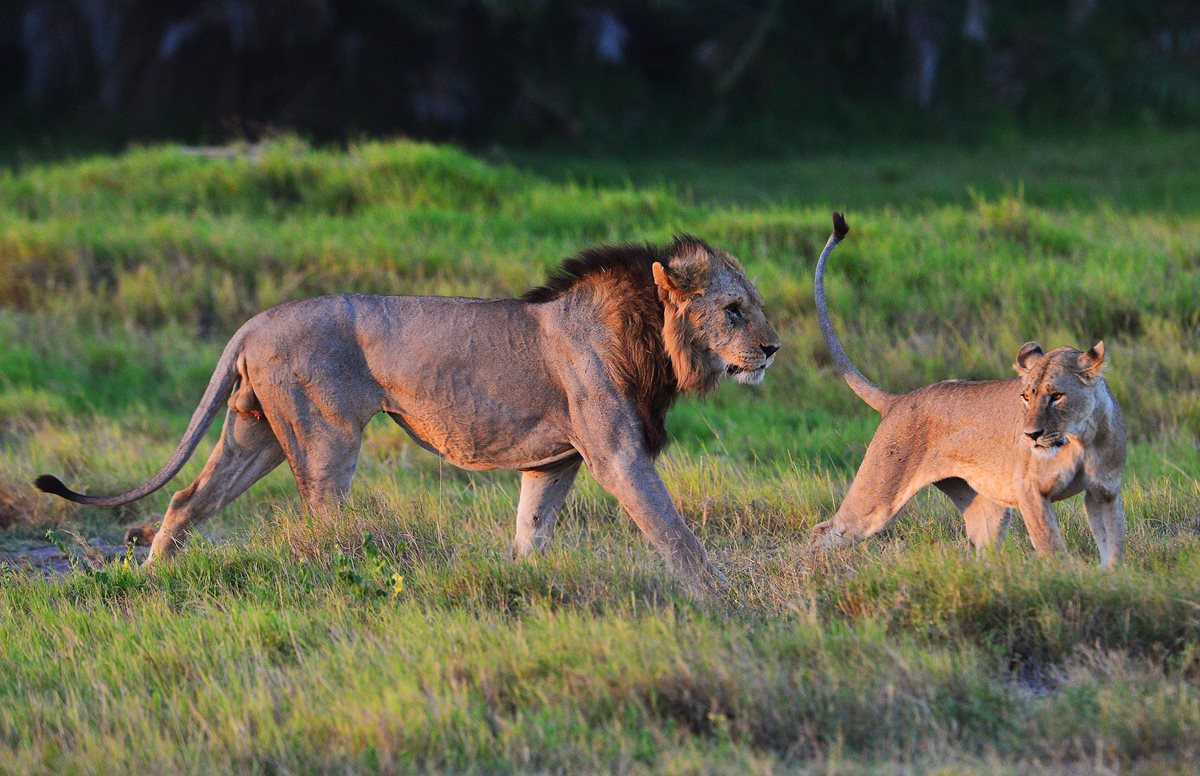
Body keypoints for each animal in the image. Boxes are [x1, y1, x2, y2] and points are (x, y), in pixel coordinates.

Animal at [35, 235, 780, 590]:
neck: (652, 339)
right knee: (321, 521)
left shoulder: (553, 463)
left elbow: (530, 534)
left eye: (756, 305)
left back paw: (153, 578)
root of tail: (253, 322)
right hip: (325, 437)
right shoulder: (616, 454)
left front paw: (518, 588)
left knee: (188, 499)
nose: (773, 348)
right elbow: (674, 532)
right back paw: (340, 578)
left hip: (256, 434)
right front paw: (726, 600)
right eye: (733, 309)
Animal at [808, 213, 1126, 567]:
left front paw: (1113, 577)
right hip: (876, 499)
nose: (1031, 435)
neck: (1080, 439)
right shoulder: (1030, 491)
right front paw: (1063, 575)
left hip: (986, 507)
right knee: (823, 531)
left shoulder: (1105, 491)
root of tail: (899, 399)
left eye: (1056, 396)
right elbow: (1051, 546)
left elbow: (1113, 546)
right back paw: (812, 571)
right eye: (1026, 396)